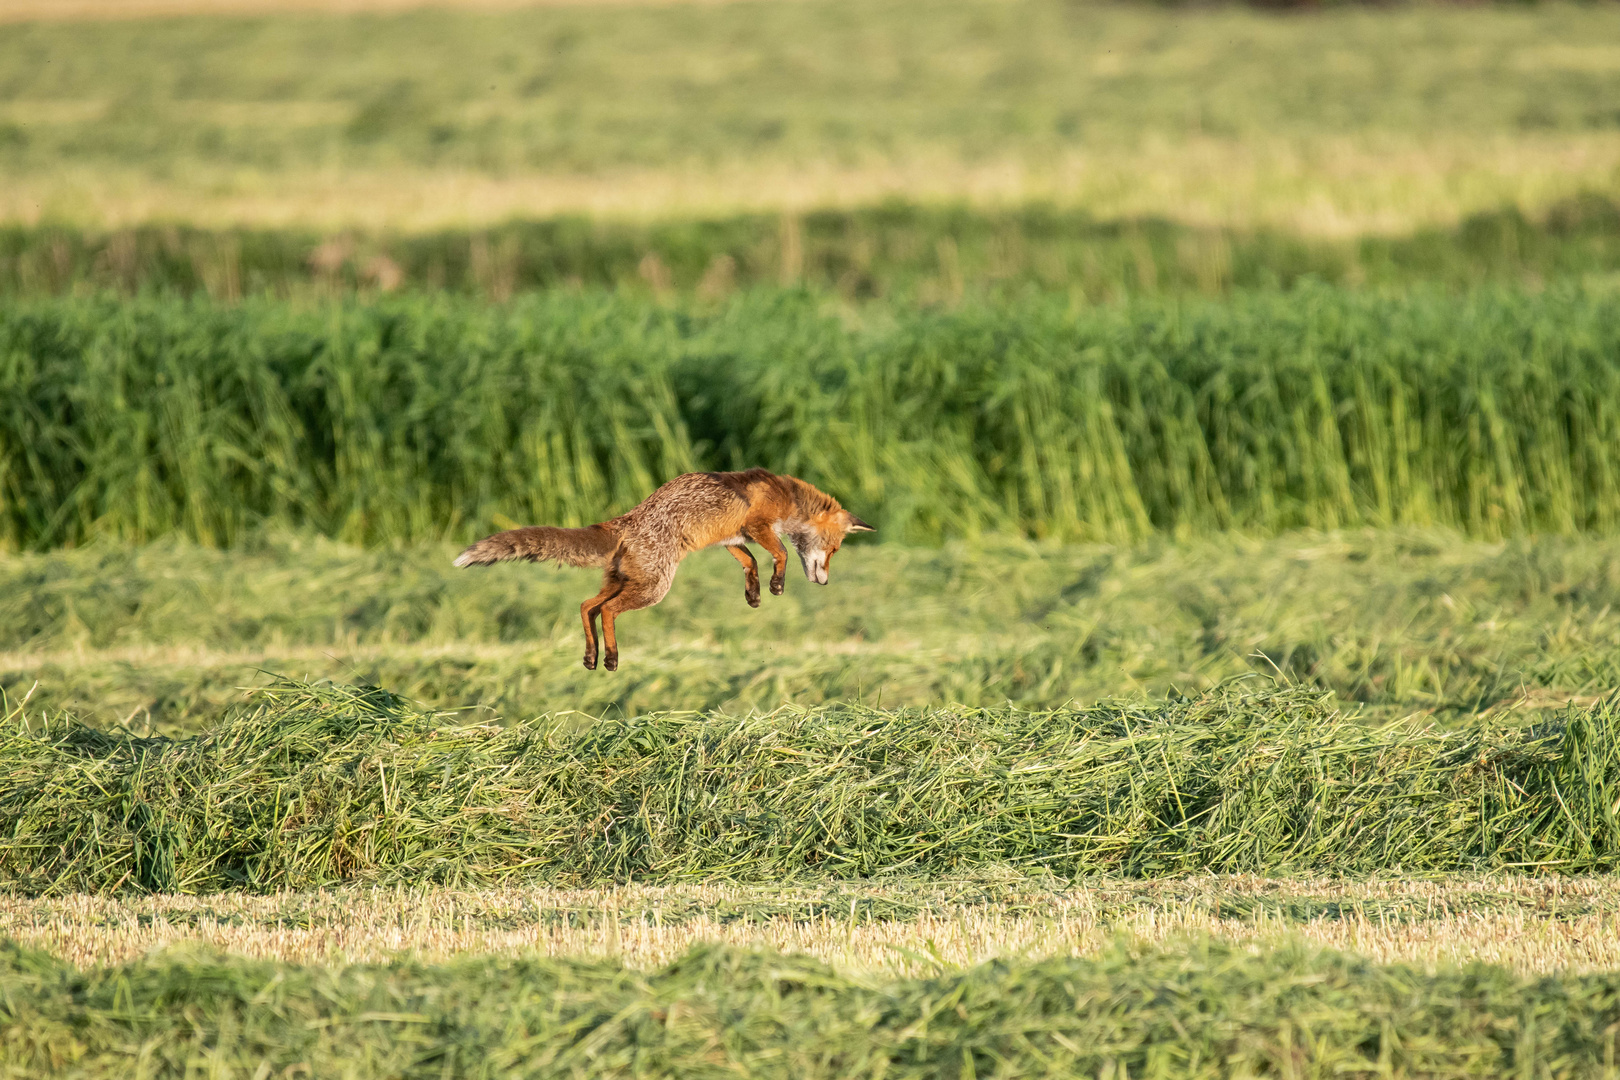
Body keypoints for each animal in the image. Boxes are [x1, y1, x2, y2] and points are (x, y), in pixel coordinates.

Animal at [453, 469, 874, 670]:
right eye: (834, 549)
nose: (826, 581)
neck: (786, 496)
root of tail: (625, 520)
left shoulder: (731, 537)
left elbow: (750, 561)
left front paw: (753, 594)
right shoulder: (756, 526)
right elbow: (781, 554)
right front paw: (775, 586)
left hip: (625, 581)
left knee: (586, 606)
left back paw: (592, 656)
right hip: (654, 588)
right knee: (607, 610)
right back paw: (611, 658)